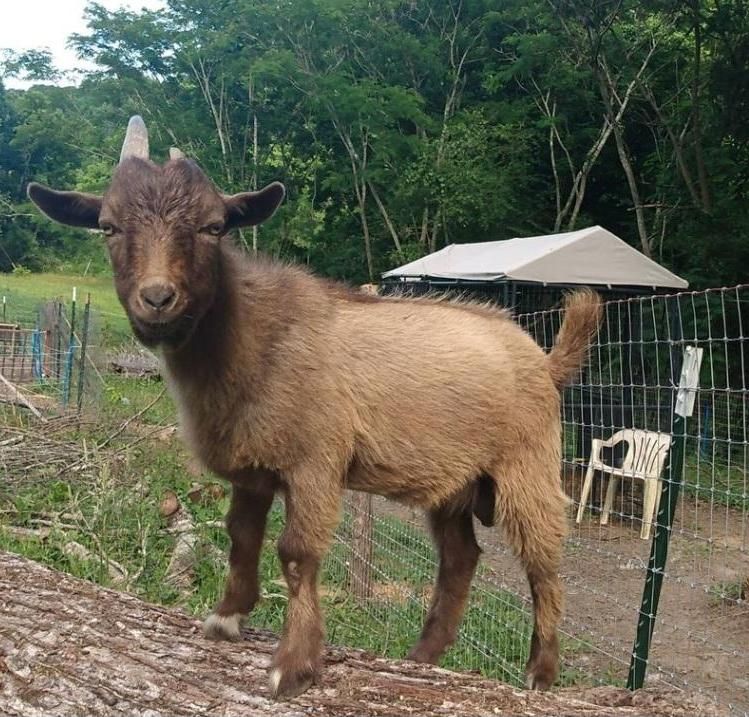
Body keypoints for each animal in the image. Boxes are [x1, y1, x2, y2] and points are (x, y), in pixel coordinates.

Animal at [28, 116, 602, 700]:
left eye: (214, 227)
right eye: (107, 226)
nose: (158, 298)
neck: (255, 340)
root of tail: (545, 360)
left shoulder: (316, 460)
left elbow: (297, 551)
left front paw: (293, 665)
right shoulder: (253, 465)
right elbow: (241, 534)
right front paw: (227, 617)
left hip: (527, 463)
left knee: (544, 560)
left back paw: (540, 672)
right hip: (455, 484)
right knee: (461, 558)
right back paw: (423, 656)